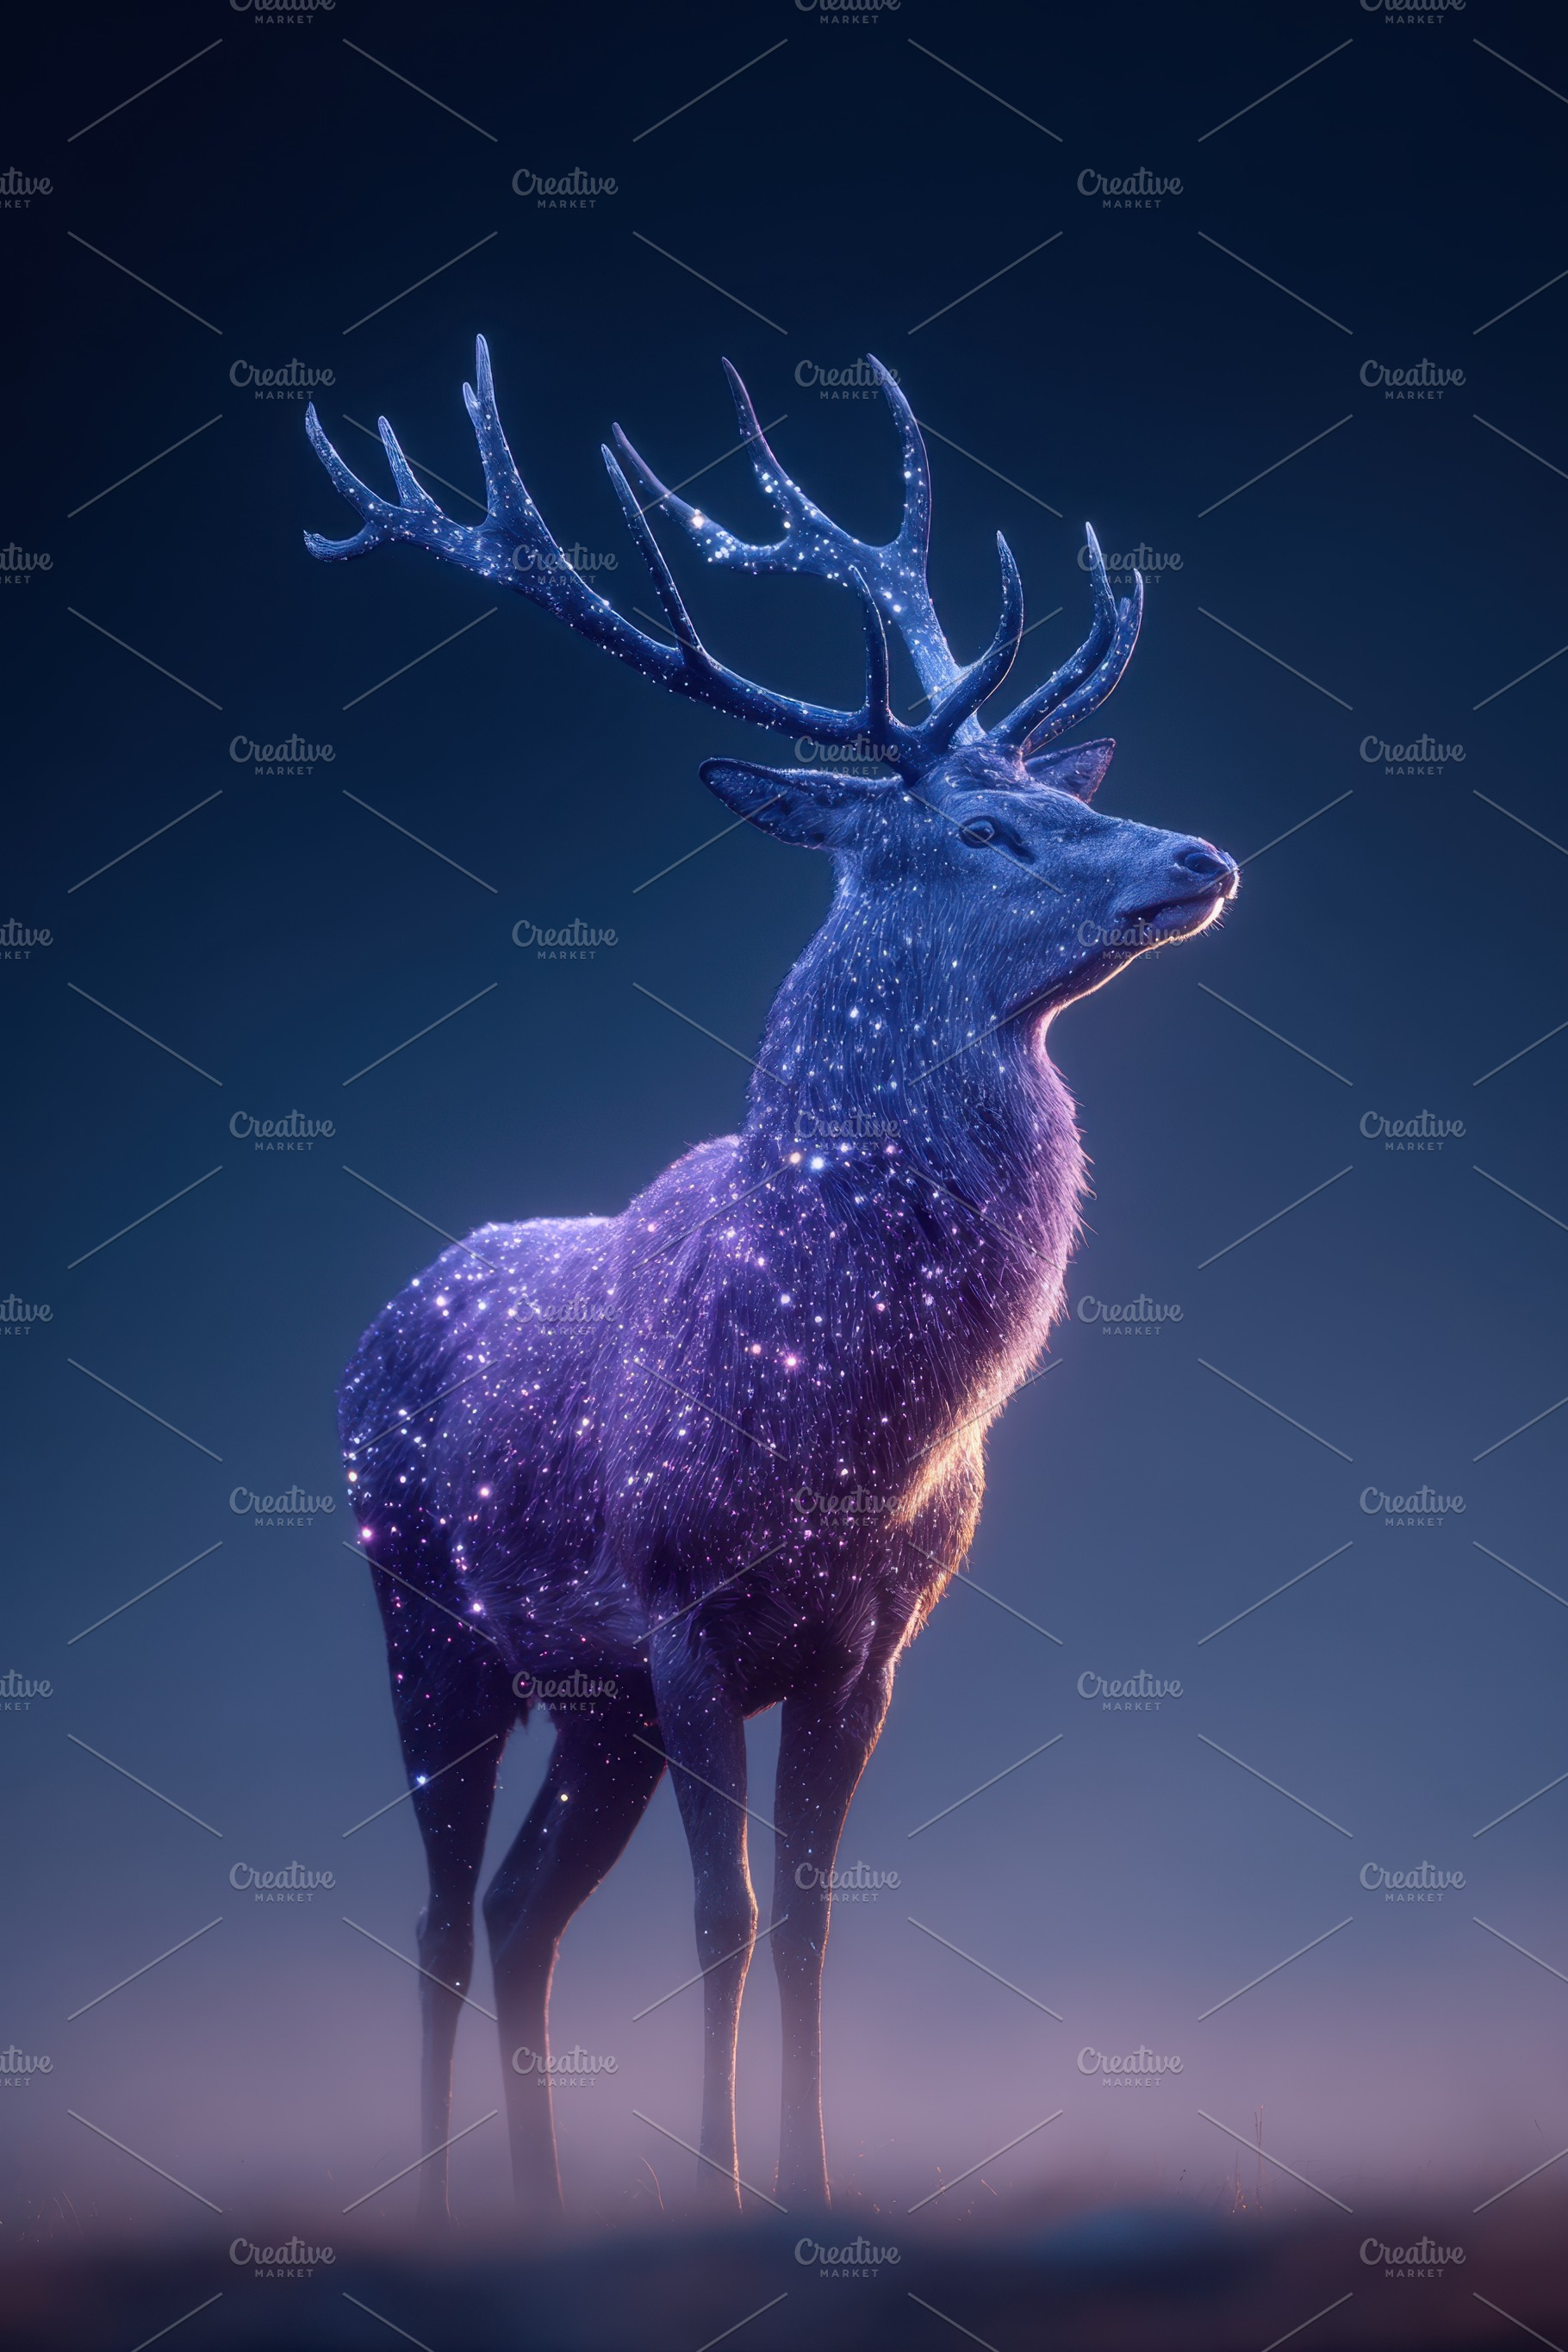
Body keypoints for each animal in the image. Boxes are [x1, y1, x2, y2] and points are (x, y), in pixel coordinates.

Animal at [305, 342, 1238, 2222]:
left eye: (1075, 794)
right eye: (991, 829)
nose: (1195, 857)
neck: (846, 1423)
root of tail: (383, 1322)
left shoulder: (864, 1646)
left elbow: (805, 1922)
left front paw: (804, 2195)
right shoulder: (681, 1618)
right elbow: (722, 1917)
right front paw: (724, 2189)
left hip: (585, 1709)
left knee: (517, 1909)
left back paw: (541, 2211)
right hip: (424, 1618)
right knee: (438, 1911)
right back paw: (440, 2209)